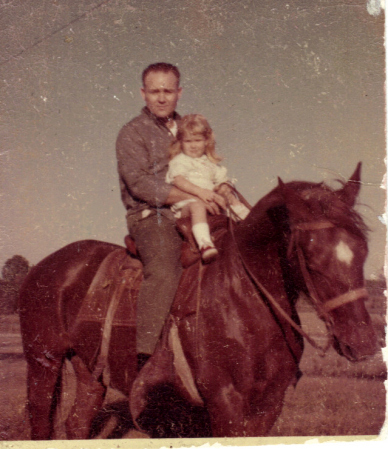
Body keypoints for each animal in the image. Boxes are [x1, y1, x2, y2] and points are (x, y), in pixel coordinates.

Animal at [19, 162, 378, 438]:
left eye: (362, 250)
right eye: (310, 257)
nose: (363, 343)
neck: (244, 299)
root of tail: (42, 267)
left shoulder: (269, 404)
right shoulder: (224, 401)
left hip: (89, 372)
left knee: (76, 424)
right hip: (43, 363)